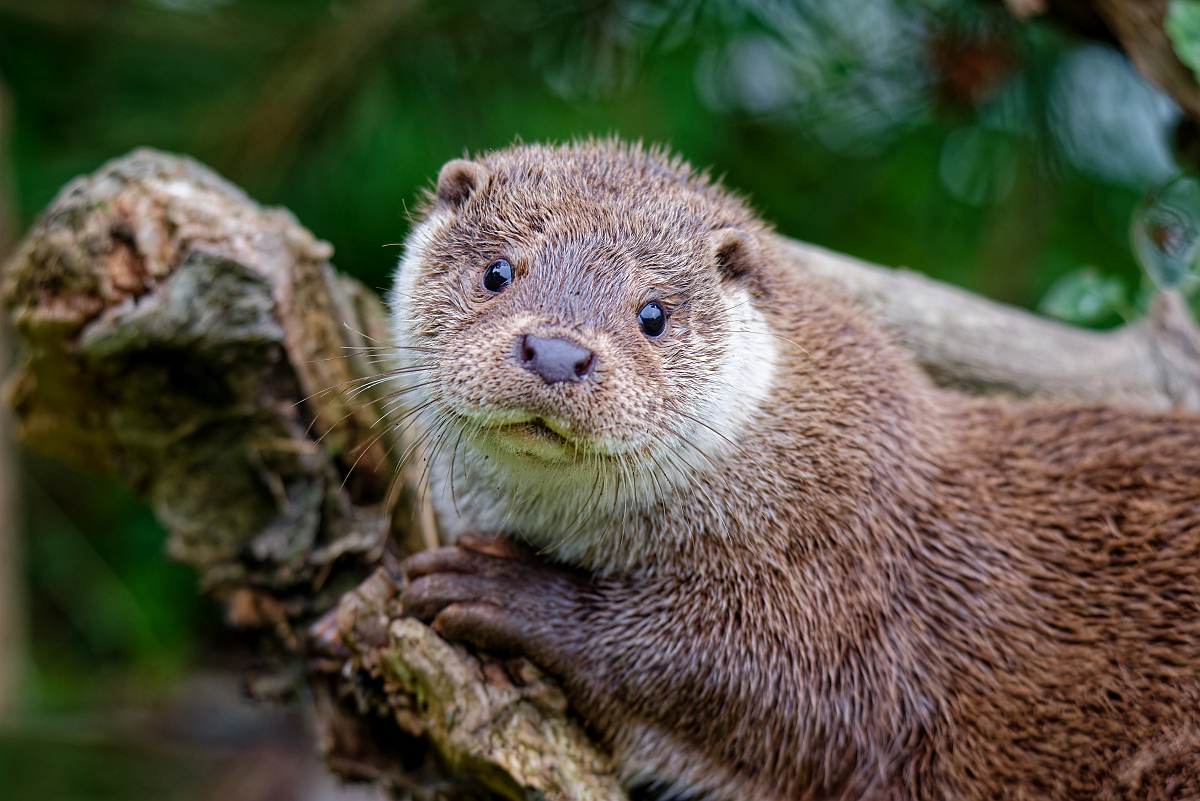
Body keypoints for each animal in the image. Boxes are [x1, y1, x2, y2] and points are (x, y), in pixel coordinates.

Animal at [388, 140, 1200, 800]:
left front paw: (506, 591)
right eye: (497, 271)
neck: (799, 474)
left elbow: (763, 683)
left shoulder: (853, 586)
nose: (558, 351)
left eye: (653, 314)